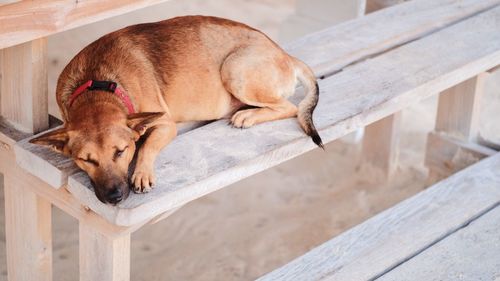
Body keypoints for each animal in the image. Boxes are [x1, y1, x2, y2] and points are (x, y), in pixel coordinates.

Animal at [31, 15, 322, 203]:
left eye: (121, 151)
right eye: (86, 160)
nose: (114, 198)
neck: (97, 84)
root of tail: (284, 54)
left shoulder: (164, 124)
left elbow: (146, 146)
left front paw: (142, 172)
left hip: (234, 69)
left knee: (290, 107)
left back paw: (248, 115)